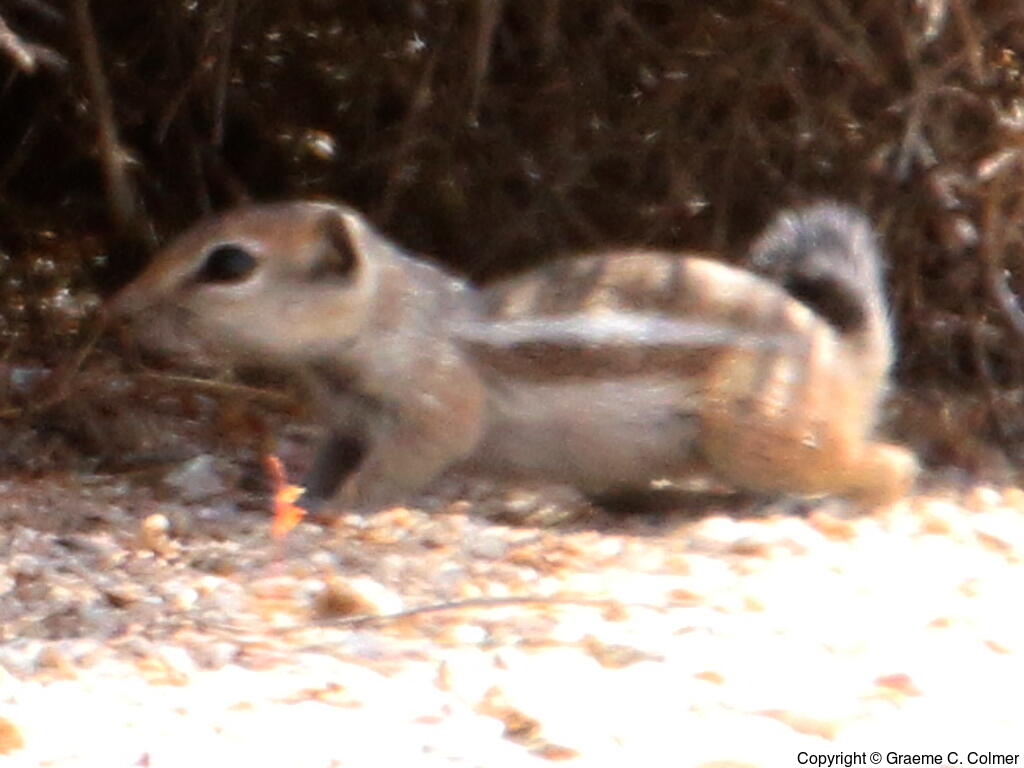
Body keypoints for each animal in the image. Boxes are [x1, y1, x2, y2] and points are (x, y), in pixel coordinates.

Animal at [109, 200, 918, 511]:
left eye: (229, 264)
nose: (120, 308)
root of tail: (844, 356)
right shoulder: (347, 421)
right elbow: (331, 459)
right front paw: (303, 497)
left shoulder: (435, 407)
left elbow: (401, 464)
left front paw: (346, 506)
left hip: (755, 430)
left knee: (890, 463)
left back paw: (837, 499)